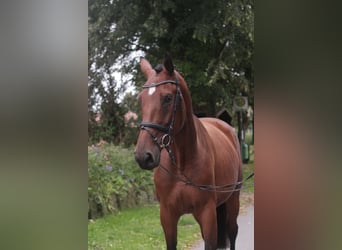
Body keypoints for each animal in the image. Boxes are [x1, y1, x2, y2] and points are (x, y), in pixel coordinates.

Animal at [134, 53, 243, 249]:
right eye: (141, 99)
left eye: (167, 98)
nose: (143, 156)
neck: (181, 164)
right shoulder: (167, 216)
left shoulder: (207, 214)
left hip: (233, 199)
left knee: (233, 231)